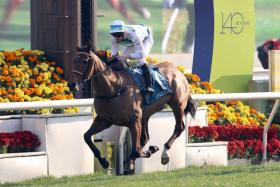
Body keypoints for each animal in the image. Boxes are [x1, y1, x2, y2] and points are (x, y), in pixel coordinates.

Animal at [68, 42, 195, 174]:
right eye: (73, 60)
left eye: (84, 61)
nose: (72, 85)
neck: (113, 88)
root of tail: (177, 71)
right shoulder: (104, 120)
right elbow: (87, 137)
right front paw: (104, 161)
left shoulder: (134, 121)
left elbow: (136, 150)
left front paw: (150, 151)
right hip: (145, 115)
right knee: (145, 138)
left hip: (177, 105)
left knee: (178, 128)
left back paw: (164, 154)